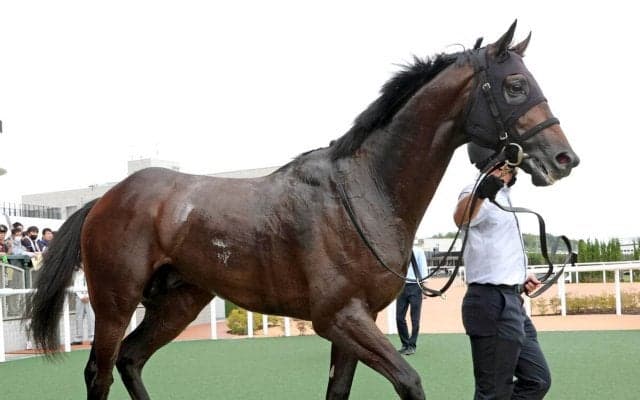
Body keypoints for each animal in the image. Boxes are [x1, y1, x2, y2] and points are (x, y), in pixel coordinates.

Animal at [26, 21, 579, 400]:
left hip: (178, 302)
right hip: (115, 302)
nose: (564, 158)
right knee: (99, 371)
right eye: (514, 85)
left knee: (131, 361)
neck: (365, 189)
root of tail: (106, 198)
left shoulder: (356, 321)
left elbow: (338, 390)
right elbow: (410, 381)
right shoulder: (338, 317)